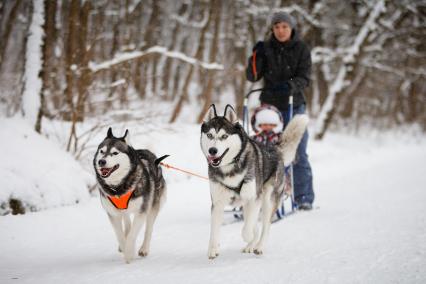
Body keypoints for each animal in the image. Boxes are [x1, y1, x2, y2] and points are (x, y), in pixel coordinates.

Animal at [93, 127, 168, 262]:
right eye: (102, 151)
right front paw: (125, 247)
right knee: (127, 223)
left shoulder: (141, 211)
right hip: (124, 211)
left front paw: (129, 253)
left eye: (115, 153)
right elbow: (120, 235)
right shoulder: (113, 214)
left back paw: (144, 249)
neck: (118, 187)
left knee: (148, 229)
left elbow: (133, 234)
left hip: (152, 206)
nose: (101, 161)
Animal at [200, 103, 306, 258]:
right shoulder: (218, 204)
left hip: (267, 200)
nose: (212, 150)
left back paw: (258, 246)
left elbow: (247, 229)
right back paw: (251, 245)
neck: (230, 168)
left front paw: (248, 238)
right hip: (247, 204)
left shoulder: (254, 198)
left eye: (224, 136)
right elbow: (214, 230)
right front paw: (213, 249)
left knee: (265, 226)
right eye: (209, 135)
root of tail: (274, 148)